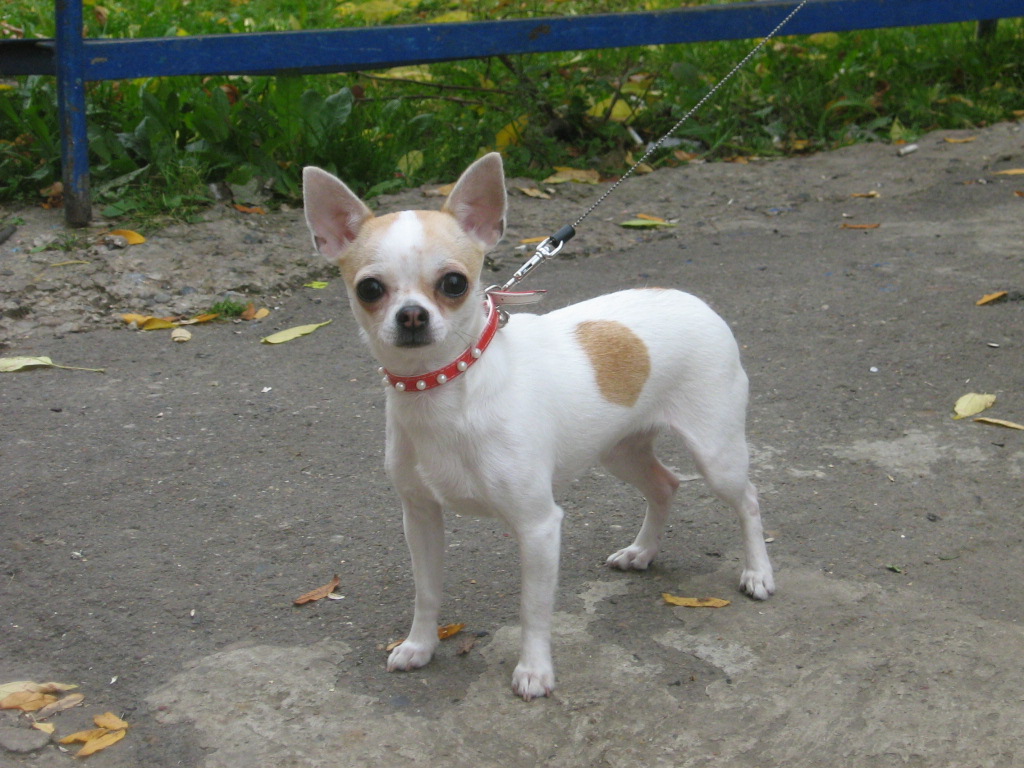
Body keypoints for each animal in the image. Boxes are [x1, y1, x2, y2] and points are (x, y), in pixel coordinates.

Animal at [302, 152, 774, 700]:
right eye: (370, 289)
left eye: (454, 283)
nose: (413, 316)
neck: (445, 388)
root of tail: (690, 299)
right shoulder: (420, 518)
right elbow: (427, 591)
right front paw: (420, 646)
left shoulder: (538, 527)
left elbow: (533, 608)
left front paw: (534, 671)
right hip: (620, 451)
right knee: (664, 485)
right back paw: (642, 551)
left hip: (716, 453)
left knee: (748, 500)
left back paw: (758, 572)